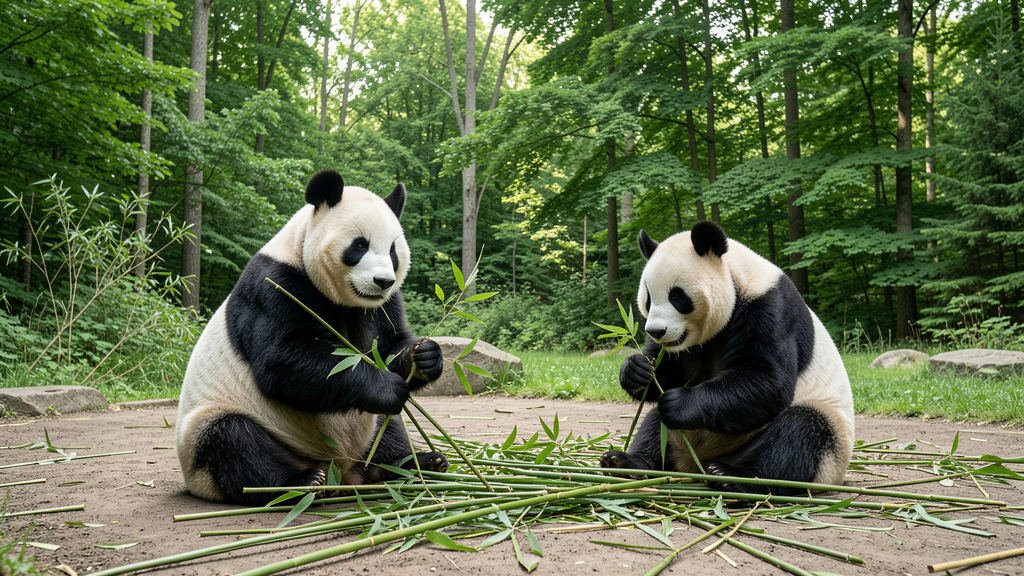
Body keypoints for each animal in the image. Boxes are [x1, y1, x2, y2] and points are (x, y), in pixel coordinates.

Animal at [175, 170, 448, 506]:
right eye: (360, 245)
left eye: (393, 251)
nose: (383, 281)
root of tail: (342, 471)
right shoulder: (273, 285)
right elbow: (283, 360)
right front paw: (386, 386)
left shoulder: (380, 306)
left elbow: (387, 346)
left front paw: (425, 356)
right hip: (214, 429)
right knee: (232, 440)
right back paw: (301, 482)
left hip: (367, 430)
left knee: (388, 427)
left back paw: (414, 462)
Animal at [601, 221, 854, 495]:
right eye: (648, 297)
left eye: (676, 296)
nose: (656, 331)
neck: (738, 277)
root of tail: (696, 463)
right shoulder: (685, 347)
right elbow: (664, 374)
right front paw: (636, 370)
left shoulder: (770, 308)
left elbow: (766, 380)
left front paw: (679, 402)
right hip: (679, 436)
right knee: (655, 427)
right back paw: (627, 462)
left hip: (830, 442)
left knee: (799, 435)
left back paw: (733, 477)